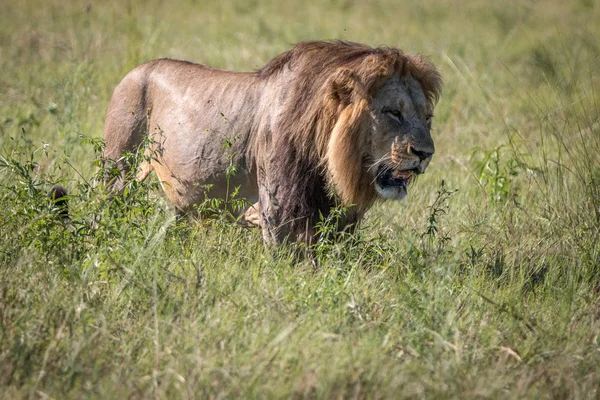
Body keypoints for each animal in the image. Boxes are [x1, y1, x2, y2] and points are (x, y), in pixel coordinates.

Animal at [99, 42, 440, 245]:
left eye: (427, 117)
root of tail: (135, 70)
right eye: (393, 112)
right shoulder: (278, 212)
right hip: (117, 172)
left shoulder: (339, 219)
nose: (425, 154)